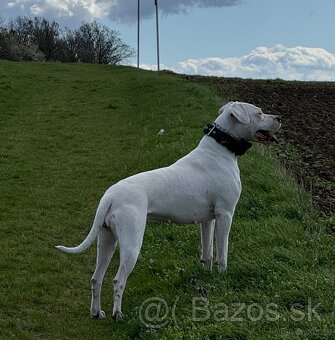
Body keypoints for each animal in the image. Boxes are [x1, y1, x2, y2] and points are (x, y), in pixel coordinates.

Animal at [56, 101, 282, 318]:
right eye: (259, 113)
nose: (279, 118)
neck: (220, 149)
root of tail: (110, 196)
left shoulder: (208, 220)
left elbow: (207, 252)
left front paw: (207, 274)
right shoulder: (225, 215)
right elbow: (222, 253)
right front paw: (222, 277)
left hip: (106, 239)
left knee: (96, 278)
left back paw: (97, 312)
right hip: (131, 242)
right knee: (118, 280)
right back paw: (118, 314)